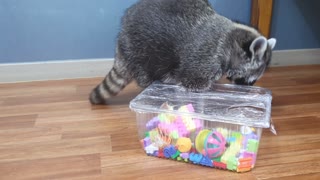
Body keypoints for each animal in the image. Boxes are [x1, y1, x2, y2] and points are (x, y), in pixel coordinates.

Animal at [89, 0, 276, 105]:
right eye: (252, 78)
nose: (248, 88)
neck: (232, 38)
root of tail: (121, 40)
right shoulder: (205, 57)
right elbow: (194, 82)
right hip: (142, 51)